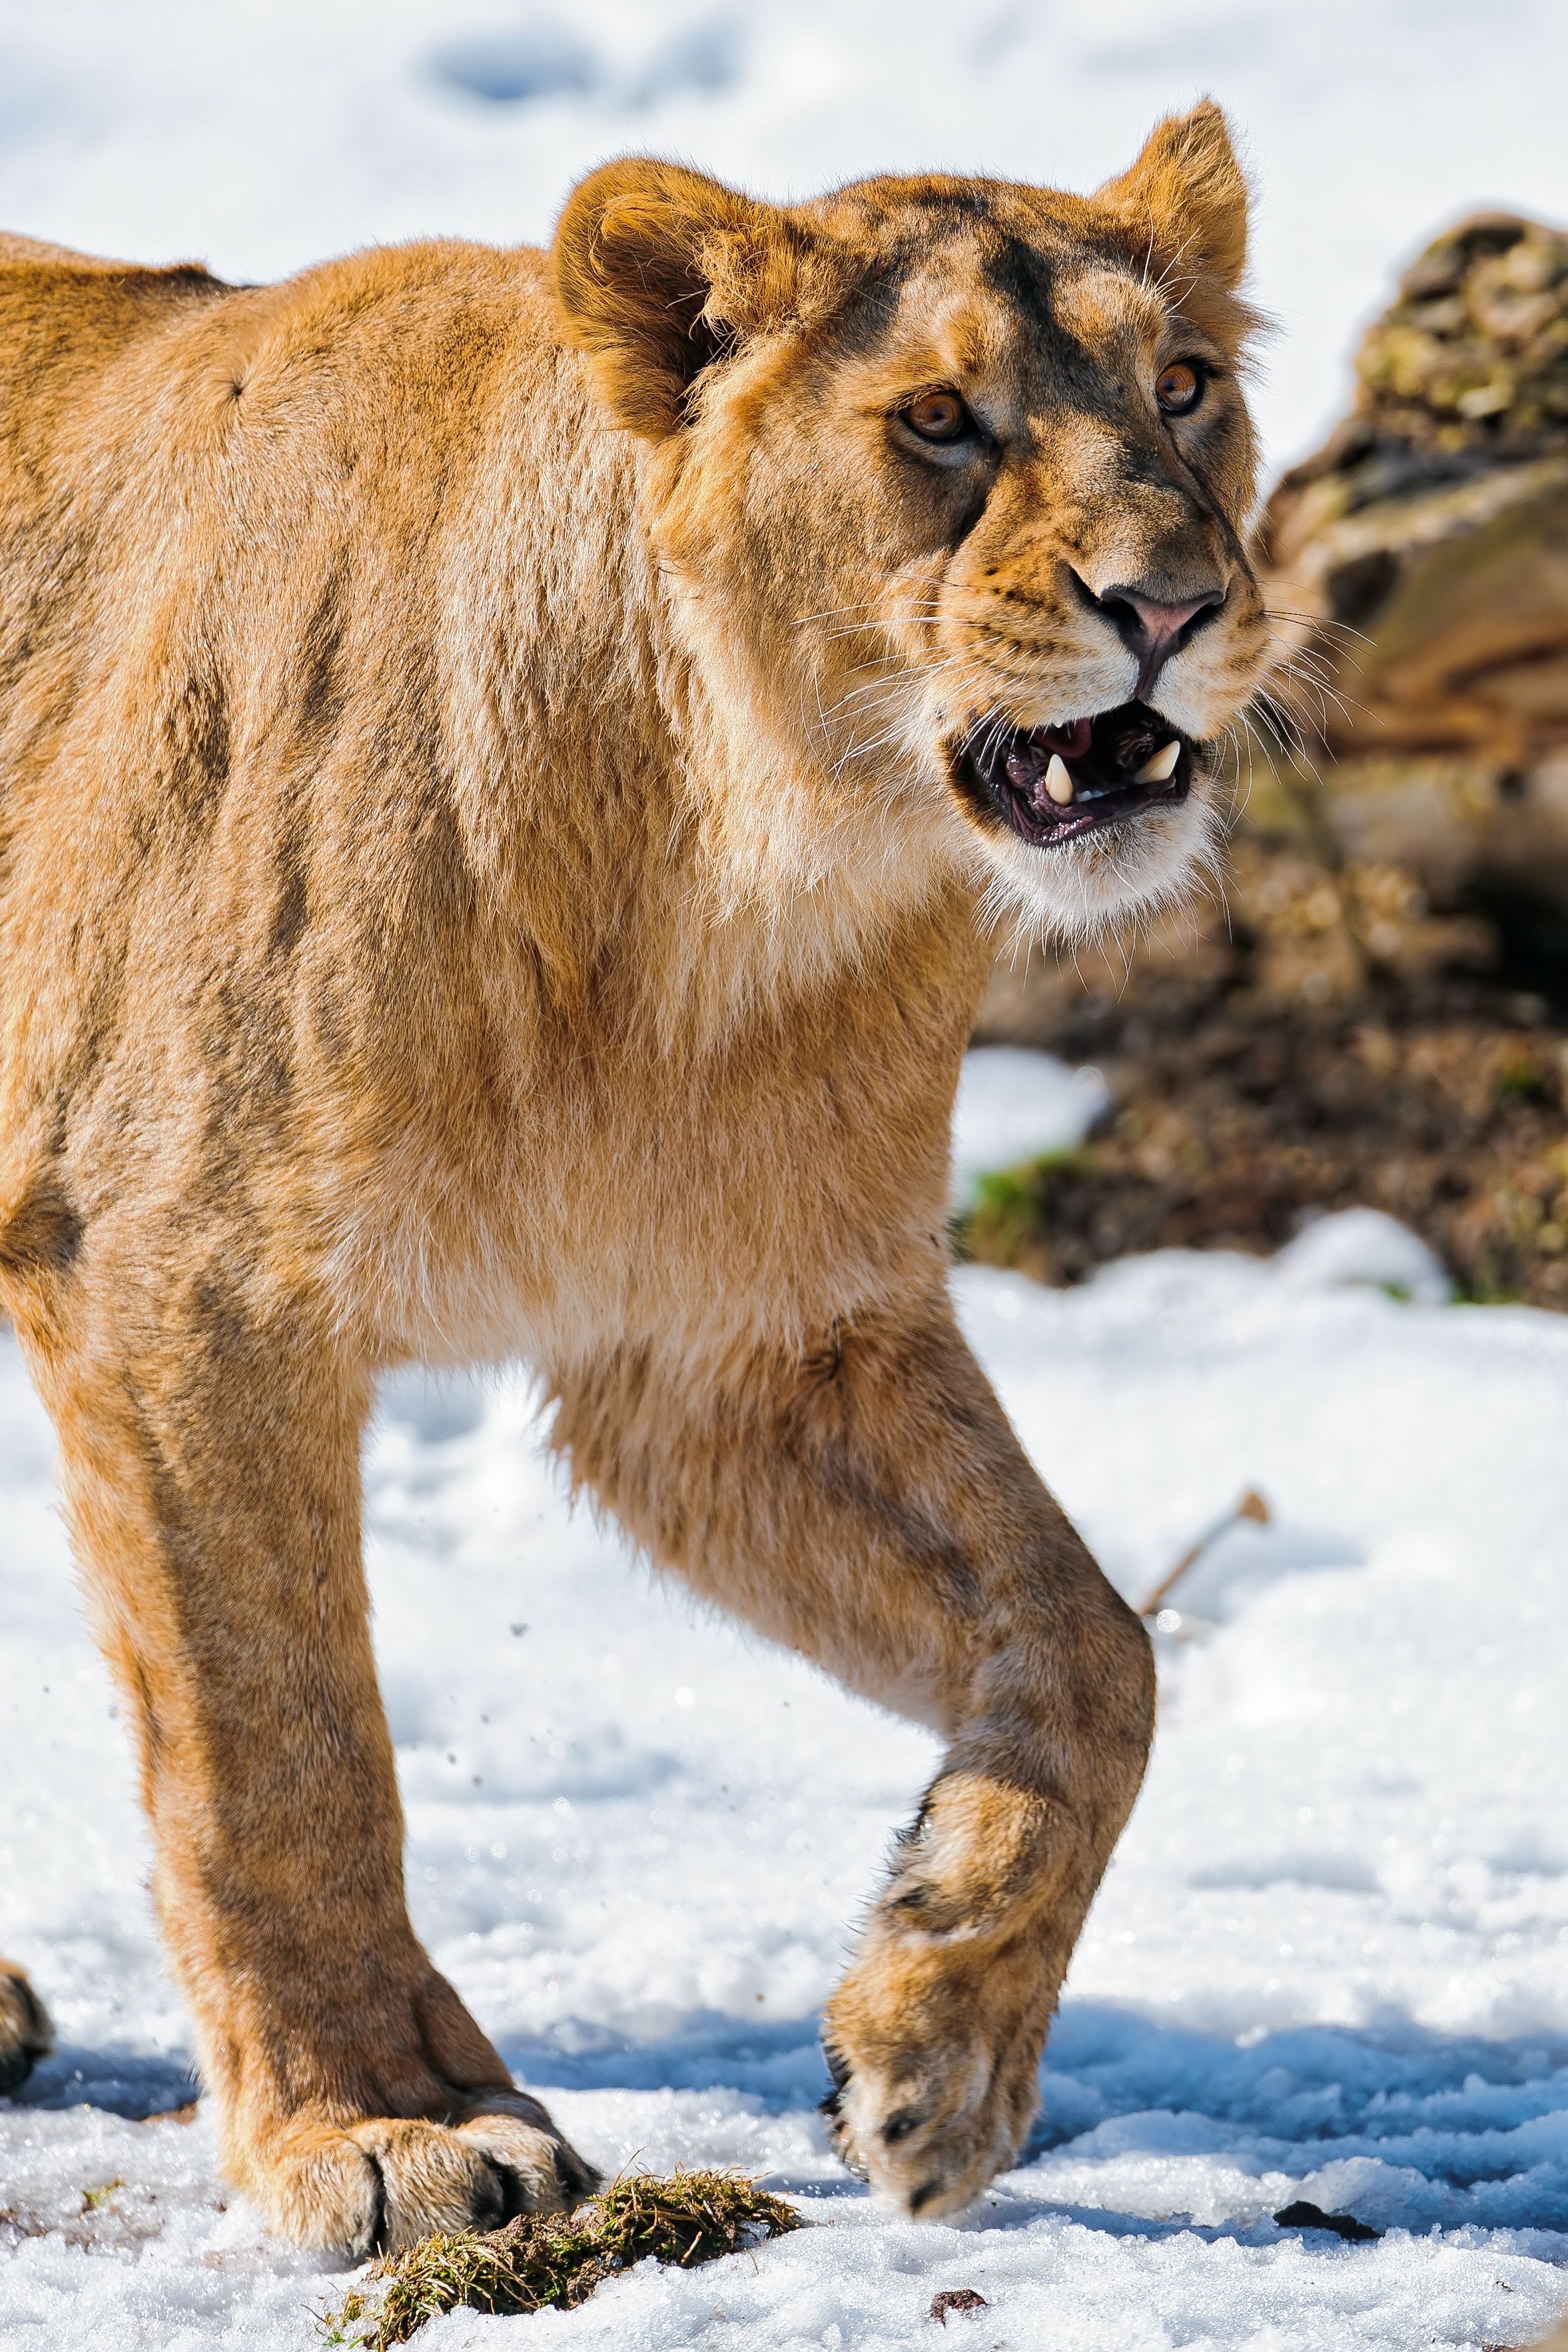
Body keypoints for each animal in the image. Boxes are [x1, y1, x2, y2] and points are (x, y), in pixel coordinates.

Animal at [0, 103, 1269, 2249]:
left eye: (1183, 389)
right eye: (940, 420)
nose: (1172, 609)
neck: (723, 893)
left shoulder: (729, 1345)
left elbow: (1098, 1648)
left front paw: (936, 2041)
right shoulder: (180, 1276)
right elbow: (277, 1747)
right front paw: (386, 2124)